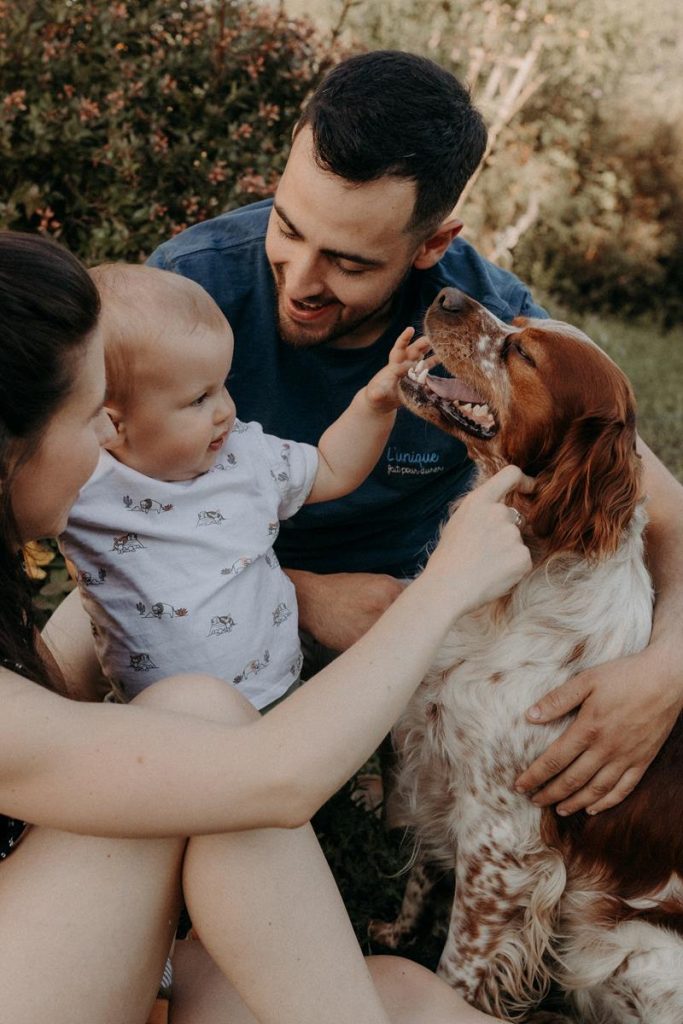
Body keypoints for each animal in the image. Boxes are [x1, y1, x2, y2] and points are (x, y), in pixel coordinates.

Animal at [374, 288, 683, 1024]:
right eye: (514, 324)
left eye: (523, 354)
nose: (446, 294)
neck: (514, 590)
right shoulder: (441, 768)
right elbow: (423, 872)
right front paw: (395, 933)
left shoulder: (503, 843)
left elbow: (460, 962)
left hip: (628, 951)